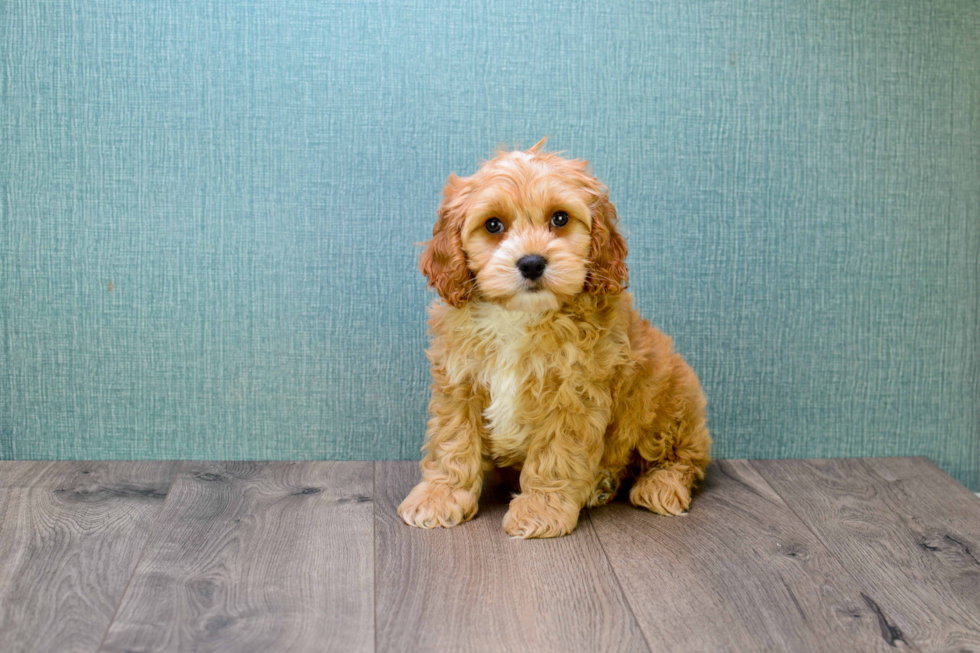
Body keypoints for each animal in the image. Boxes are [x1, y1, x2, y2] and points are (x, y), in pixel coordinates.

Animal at [398, 140, 712, 536]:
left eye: (560, 219)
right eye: (493, 225)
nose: (532, 263)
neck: (519, 316)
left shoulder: (573, 394)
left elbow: (555, 455)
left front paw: (539, 510)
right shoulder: (459, 382)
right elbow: (452, 442)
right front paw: (440, 495)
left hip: (671, 399)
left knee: (683, 457)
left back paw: (659, 485)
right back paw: (603, 483)